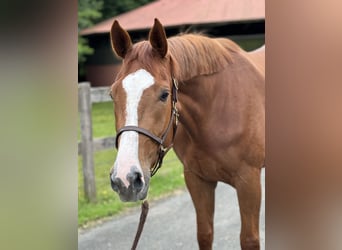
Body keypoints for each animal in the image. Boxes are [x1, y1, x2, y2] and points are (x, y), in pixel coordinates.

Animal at [109, 18, 264, 249]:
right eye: (112, 94)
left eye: (164, 94)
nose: (125, 179)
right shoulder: (196, 179)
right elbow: (205, 234)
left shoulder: (248, 182)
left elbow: (249, 239)